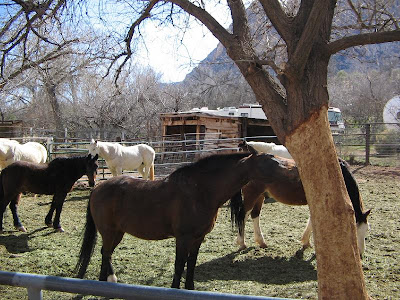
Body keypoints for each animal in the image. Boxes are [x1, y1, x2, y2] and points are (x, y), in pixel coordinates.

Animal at [74, 151, 300, 290]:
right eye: (272, 162)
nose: (295, 174)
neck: (200, 191)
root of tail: (98, 188)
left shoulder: (198, 238)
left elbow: (190, 265)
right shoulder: (182, 238)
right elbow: (179, 265)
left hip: (118, 232)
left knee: (106, 253)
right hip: (109, 231)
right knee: (105, 253)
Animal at [236, 142, 370, 254]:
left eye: (366, 230)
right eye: (355, 229)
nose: (360, 253)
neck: (338, 176)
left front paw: (306, 242)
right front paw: (306, 242)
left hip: (260, 196)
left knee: (255, 215)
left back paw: (261, 242)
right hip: (252, 194)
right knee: (243, 214)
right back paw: (241, 243)